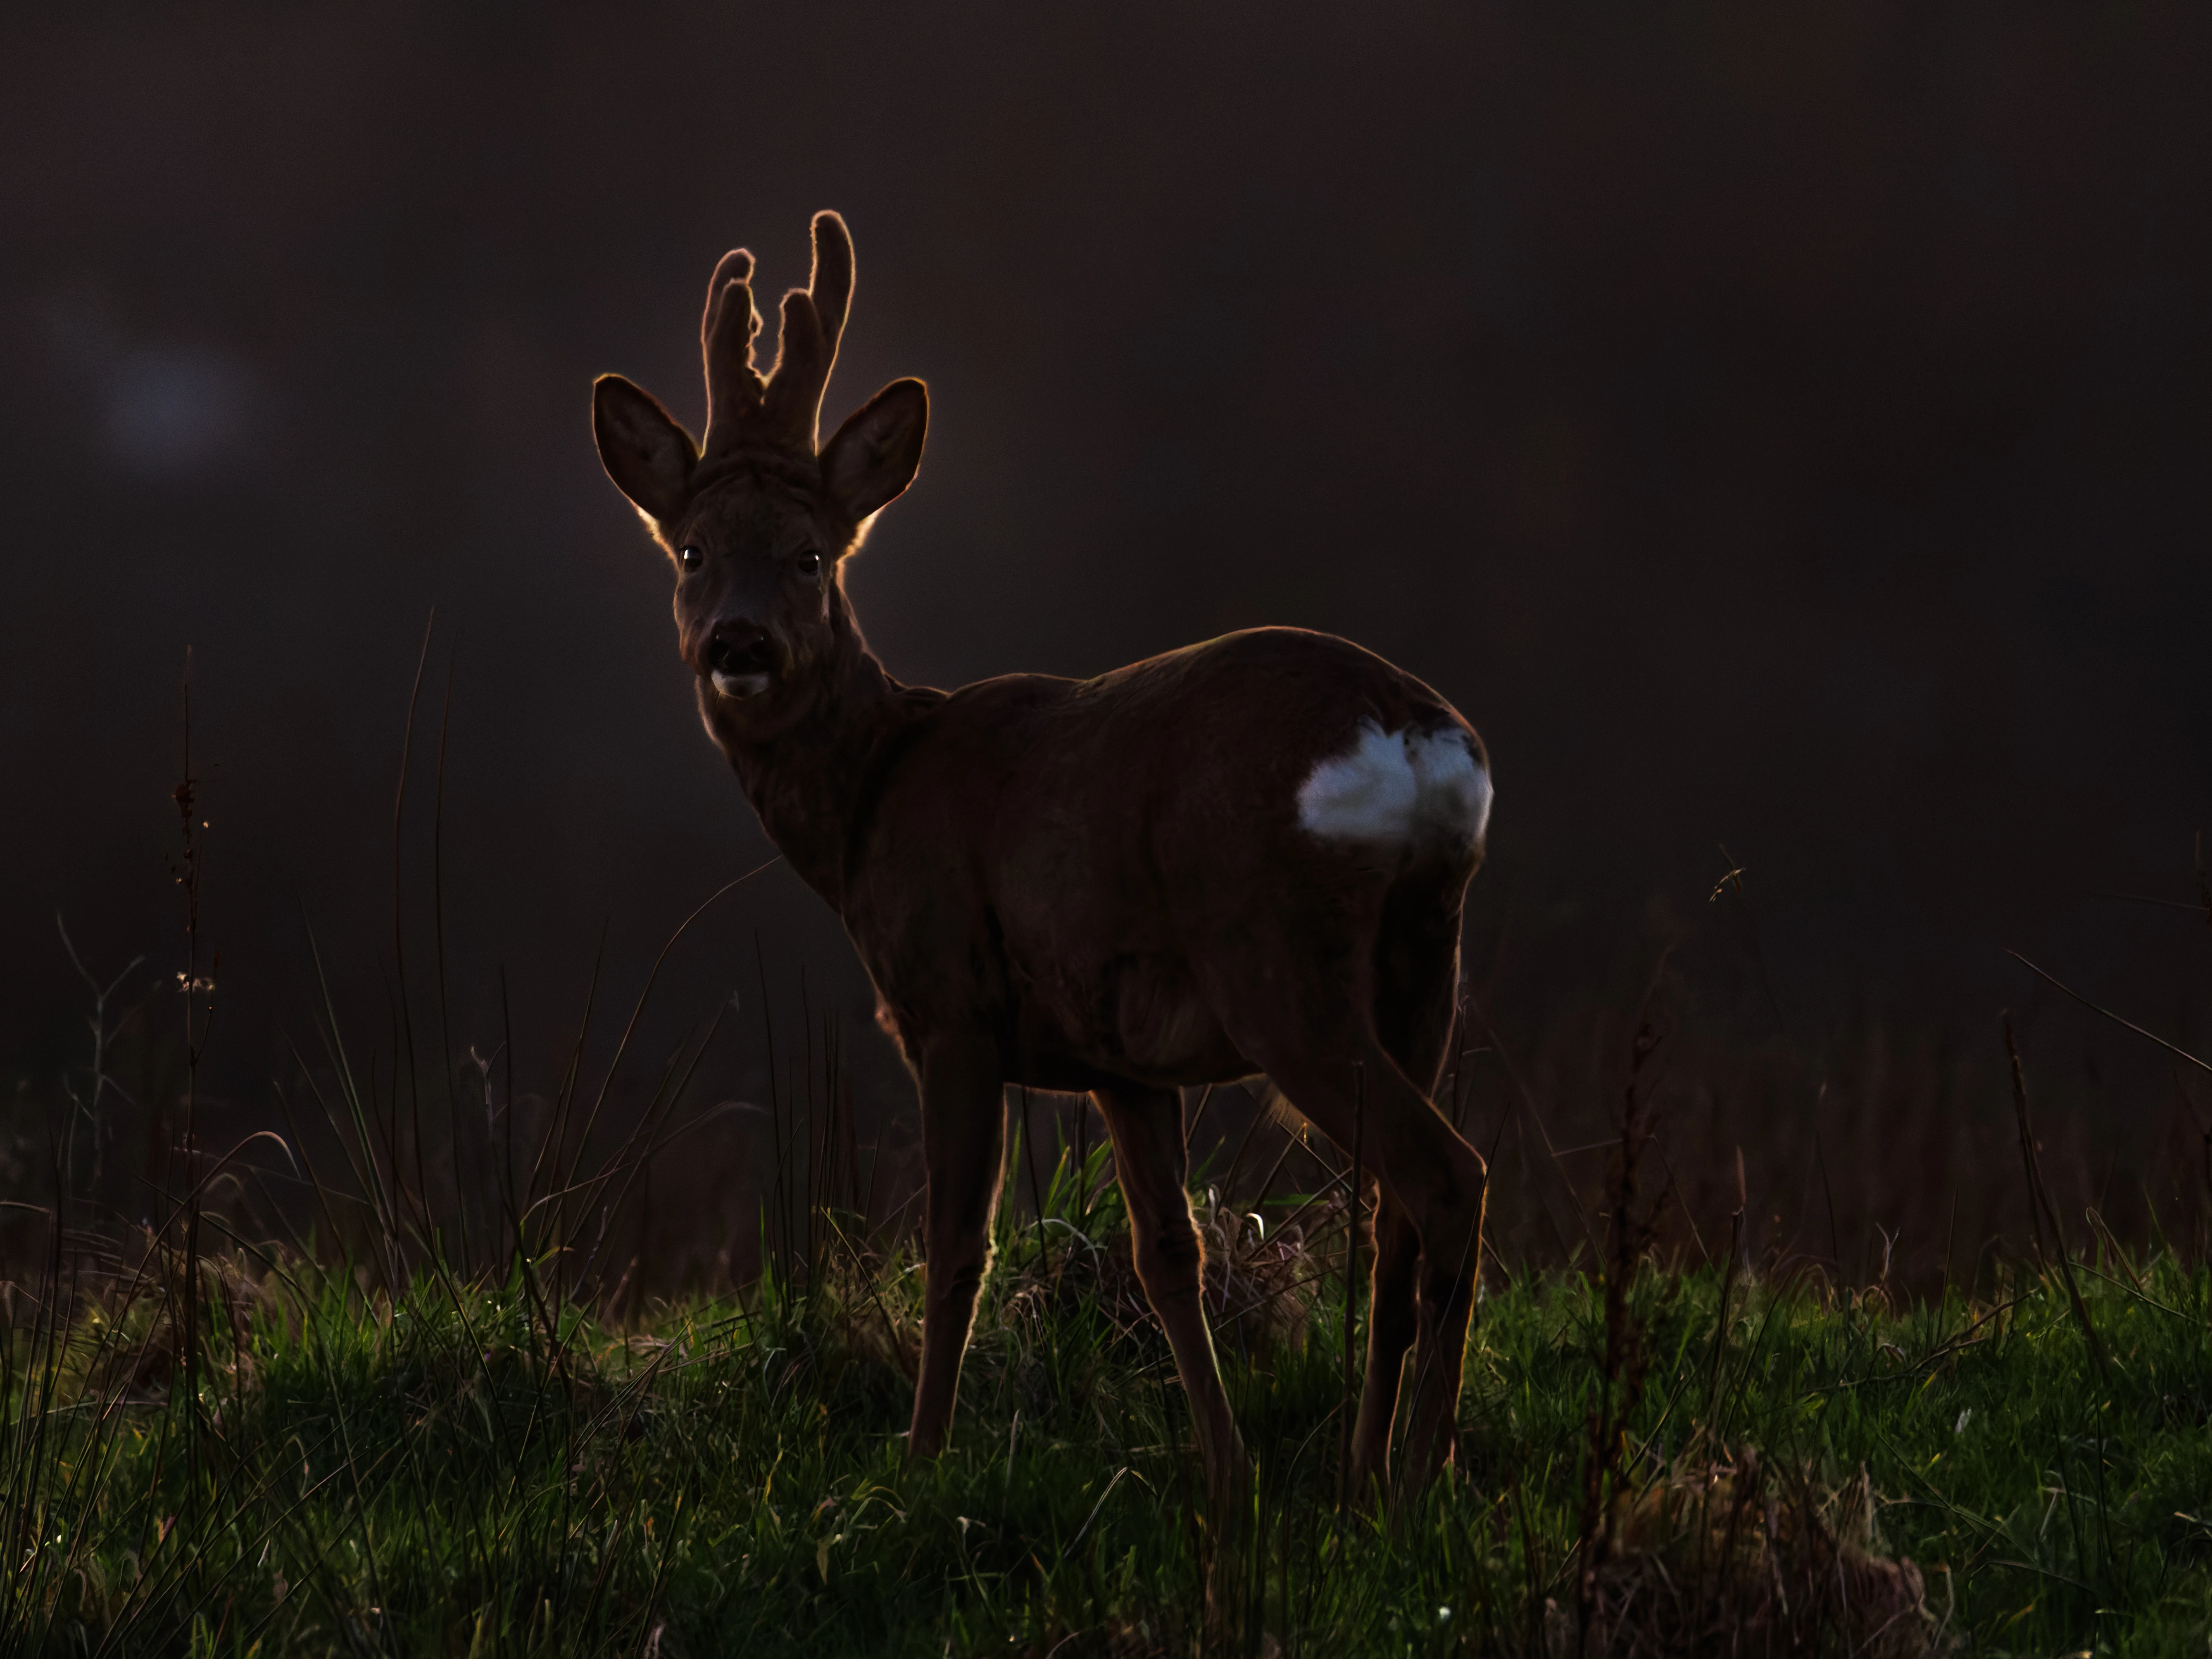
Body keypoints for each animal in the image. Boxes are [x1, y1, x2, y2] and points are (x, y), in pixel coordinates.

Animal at [590, 211, 1492, 1509]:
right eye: (693, 550)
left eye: (811, 555)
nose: (738, 644)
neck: (871, 795)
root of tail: (1413, 735)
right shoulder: (1121, 1055)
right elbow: (1167, 1249)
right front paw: (1224, 1471)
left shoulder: (951, 1003)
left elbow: (955, 1243)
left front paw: (919, 1460)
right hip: (1426, 958)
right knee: (1392, 1211)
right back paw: (1363, 1468)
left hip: (1280, 960)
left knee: (1445, 1174)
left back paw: (1422, 1473)